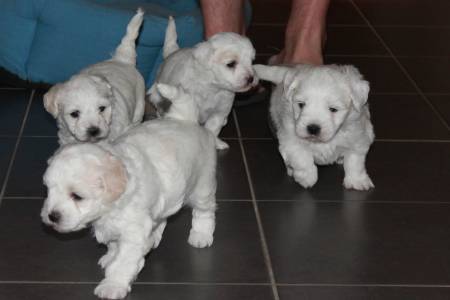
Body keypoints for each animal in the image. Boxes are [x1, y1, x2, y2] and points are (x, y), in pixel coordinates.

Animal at [41, 82, 217, 300]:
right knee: (163, 217)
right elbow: (115, 246)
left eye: (77, 196)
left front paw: (113, 285)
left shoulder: (133, 231)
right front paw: (111, 256)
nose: (52, 216)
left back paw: (201, 235)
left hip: (203, 185)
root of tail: (184, 119)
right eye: (48, 191)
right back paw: (155, 237)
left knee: (205, 211)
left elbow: (123, 261)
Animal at [149, 16, 258, 150]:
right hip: (158, 95)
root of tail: (172, 53)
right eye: (231, 64)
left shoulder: (218, 113)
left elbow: (212, 130)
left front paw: (215, 143)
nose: (251, 78)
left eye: (251, 62)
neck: (213, 88)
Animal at [255, 63, 374, 191]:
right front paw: (307, 178)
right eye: (301, 105)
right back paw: (290, 169)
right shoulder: (290, 139)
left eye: (333, 109)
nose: (313, 128)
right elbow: (301, 158)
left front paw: (357, 181)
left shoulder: (358, 138)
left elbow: (355, 161)